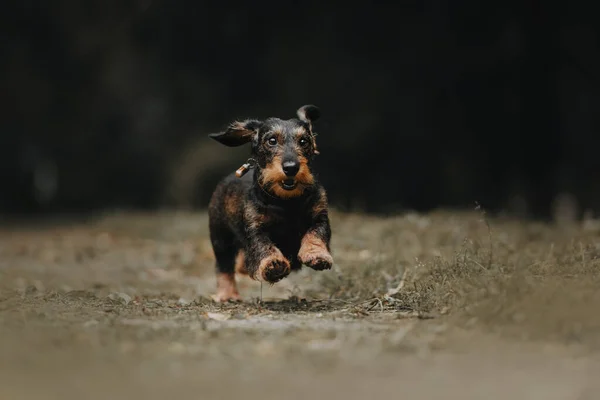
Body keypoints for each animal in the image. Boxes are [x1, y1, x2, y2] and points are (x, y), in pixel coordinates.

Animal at [209, 104, 336, 302]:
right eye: (272, 140)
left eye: (304, 141)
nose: (291, 168)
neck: (287, 201)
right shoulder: (255, 228)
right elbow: (263, 246)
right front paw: (272, 264)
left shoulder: (320, 217)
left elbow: (315, 234)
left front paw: (317, 255)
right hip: (220, 238)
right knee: (224, 267)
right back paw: (227, 294)